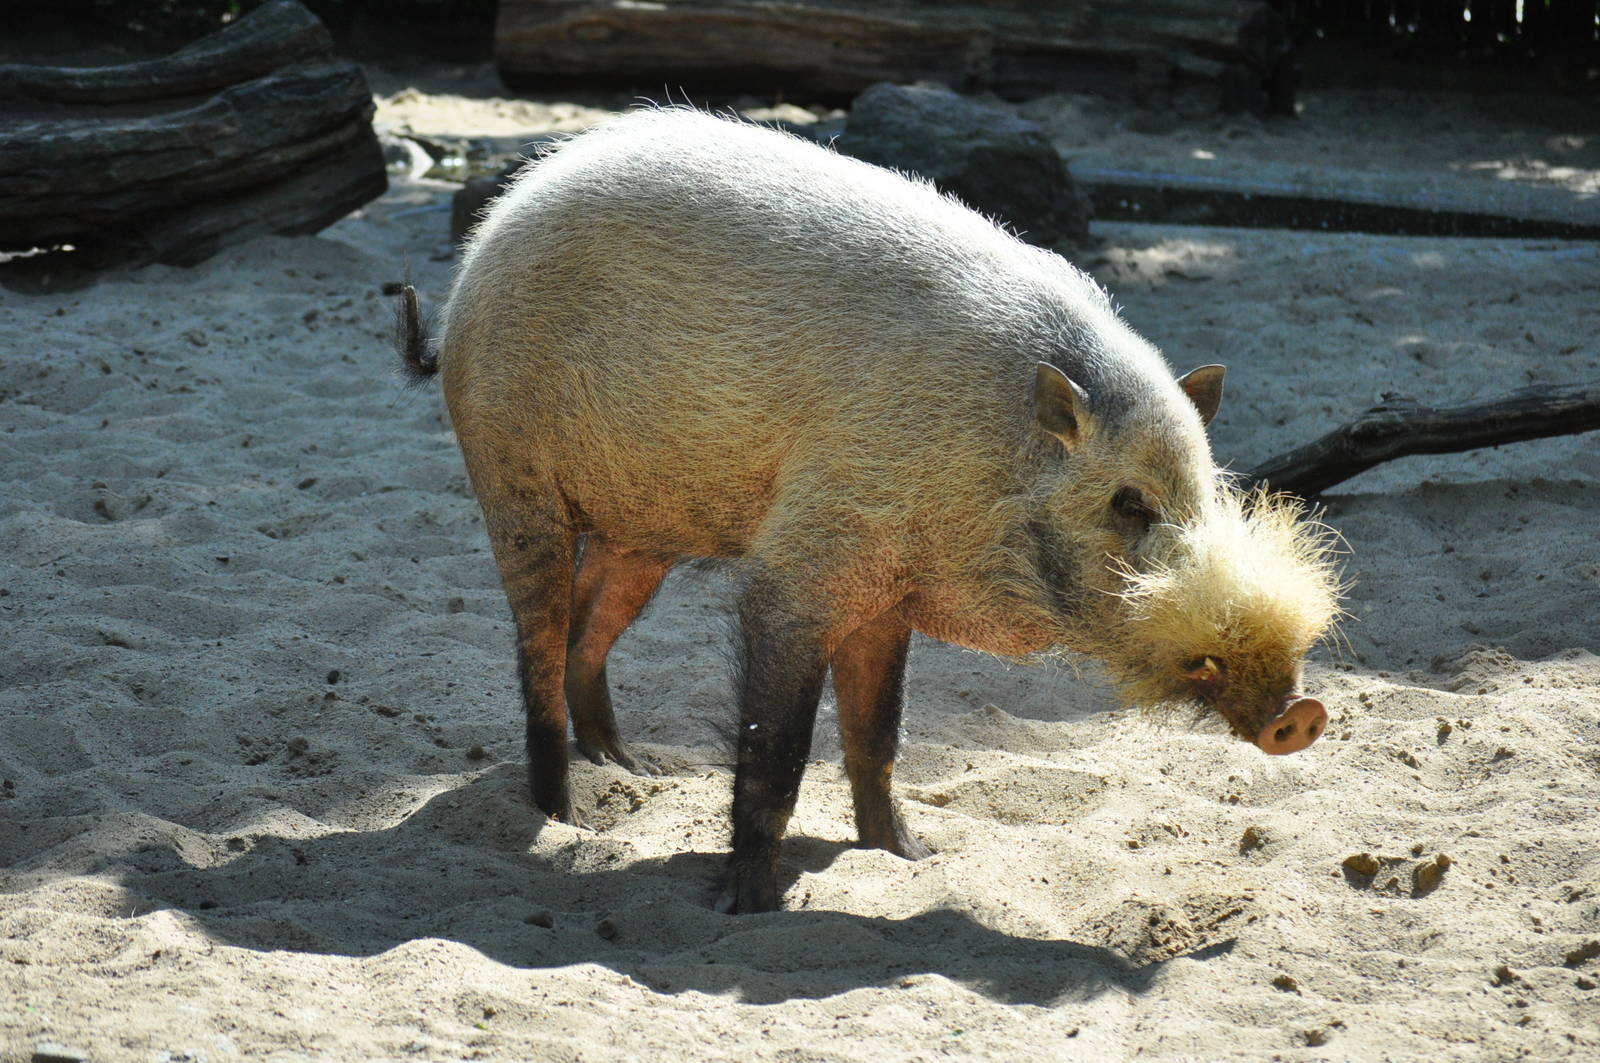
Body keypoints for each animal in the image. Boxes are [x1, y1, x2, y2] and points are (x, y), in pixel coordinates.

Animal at [397, 108, 1343, 914]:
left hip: (641, 534)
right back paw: (567, 820)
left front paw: (910, 857)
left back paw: (634, 772)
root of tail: (480, 250)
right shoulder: (803, 571)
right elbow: (778, 751)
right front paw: (749, 906)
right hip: (514, 481)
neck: (987, 461)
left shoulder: (888, 597)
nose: (1301, 711)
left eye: (1205, 492)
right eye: (1129, 501)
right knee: (537, 654)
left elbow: (878, 735)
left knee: (587, 634)